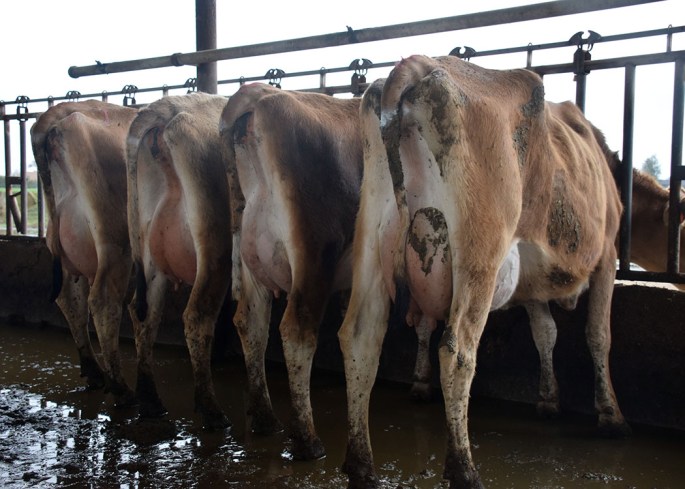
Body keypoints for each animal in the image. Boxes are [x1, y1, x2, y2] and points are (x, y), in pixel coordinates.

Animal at [126, 92, 232, 429]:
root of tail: (166, 108)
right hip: (215, 243)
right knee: (197, 316)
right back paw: (211, 409)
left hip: (150, 253)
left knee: (143, 315)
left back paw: (150, 401)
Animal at [219, 83, 363, 459]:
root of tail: (256, 94)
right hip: (314, 251)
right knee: (297, 330)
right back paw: (307, 440)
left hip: (250, 252)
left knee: (251, 322)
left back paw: (265, 419)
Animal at [338, 55, 630, 489]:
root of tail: (414, 65)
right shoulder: (607, 254)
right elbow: (598, 334)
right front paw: (611, 415)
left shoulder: (532, 284)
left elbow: (545, 333)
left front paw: (548, 399)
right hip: (480, 253)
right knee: (457, 350)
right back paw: (464, 469)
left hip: (372, 235)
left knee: (360, 338)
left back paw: (361, 465)